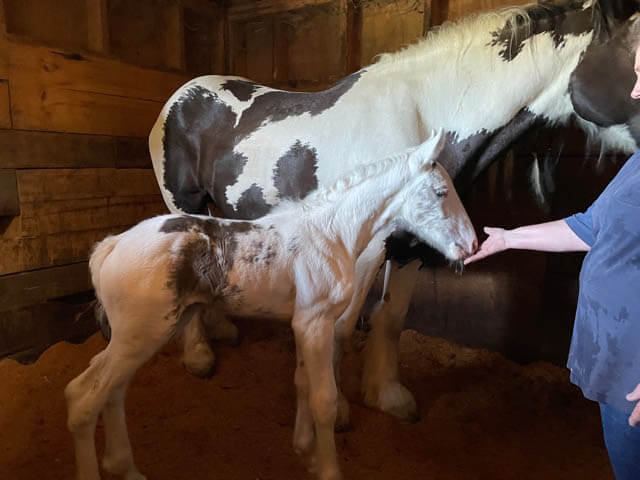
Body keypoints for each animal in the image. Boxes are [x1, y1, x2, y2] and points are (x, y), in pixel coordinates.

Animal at [66, 132, 476, 480]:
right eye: (441, 192)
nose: (471, 246)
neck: (331, 233)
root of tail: (111, 246)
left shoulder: (304, 324)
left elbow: (302, 384)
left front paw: (305, 452)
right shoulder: (315, 322)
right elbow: (324, 399)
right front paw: (328, 469)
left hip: (140, 335)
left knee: (111, 390)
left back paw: (125, 469)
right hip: (142, 332)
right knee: (84, 397)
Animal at [150, 0, 640, 422]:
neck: (421, 123)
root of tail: (180, 96)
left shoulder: (410, 247)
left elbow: (390, 319)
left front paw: (386, 396)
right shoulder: (364, 249)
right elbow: (343, 324)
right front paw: (335, 408)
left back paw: (221, 330)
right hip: (182, 200)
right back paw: (199, 356)